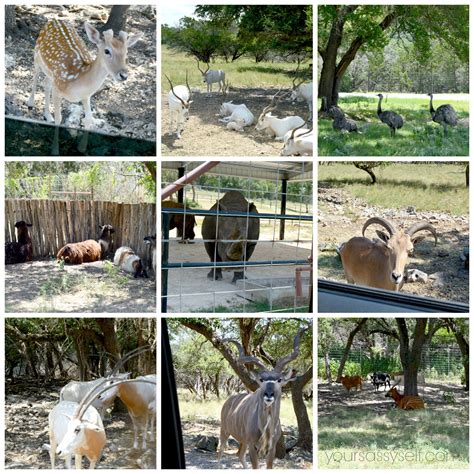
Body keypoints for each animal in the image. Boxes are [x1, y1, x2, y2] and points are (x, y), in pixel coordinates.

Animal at [218, 326, 310, 470]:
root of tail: (228, 402)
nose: (269, 395)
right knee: (220, 452)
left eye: (279, 380)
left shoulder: (271, 449)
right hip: (225, 431)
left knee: (239, 454)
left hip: (243, 441)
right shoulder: (253, 446)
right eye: (261, 379)